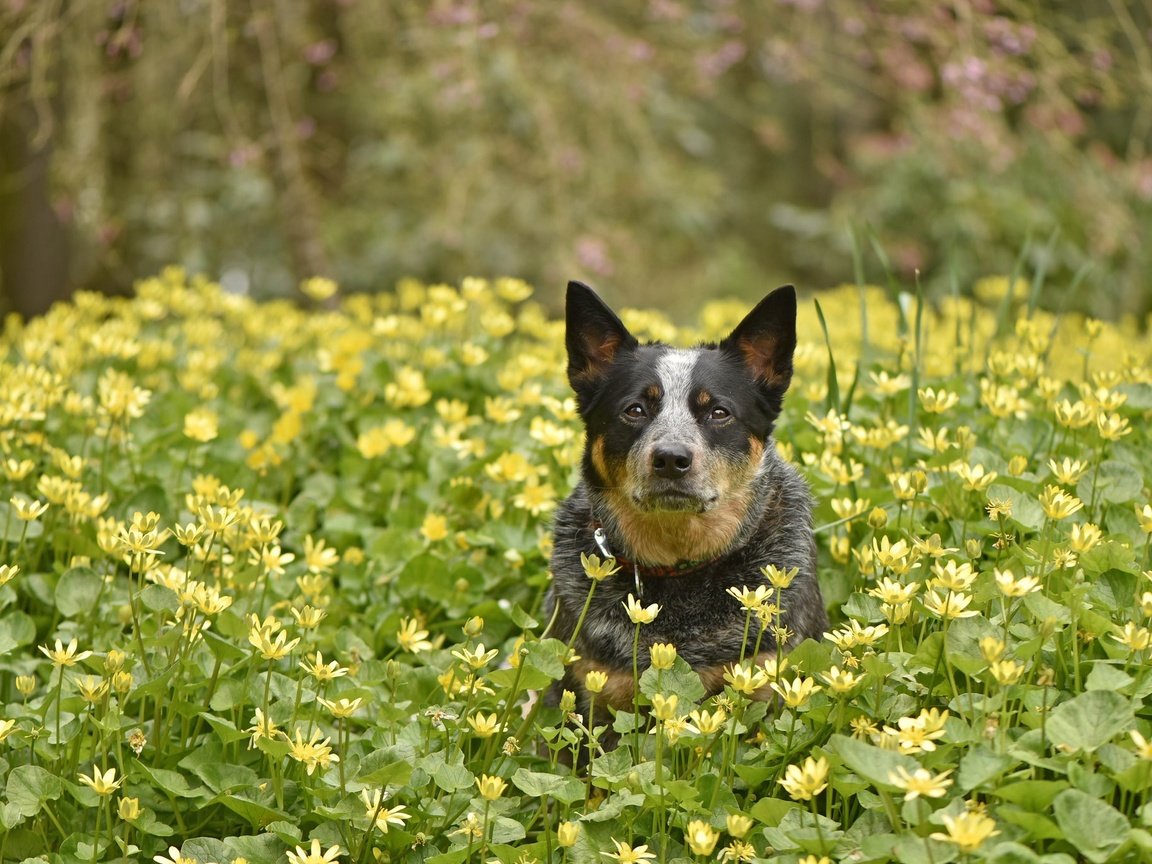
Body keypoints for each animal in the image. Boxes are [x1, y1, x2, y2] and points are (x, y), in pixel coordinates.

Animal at [541, 281, 824, 732]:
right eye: (635, 409)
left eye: (719, 412)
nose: (671, 458)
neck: (680, 565)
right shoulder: (593, 701)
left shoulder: (764, 689)